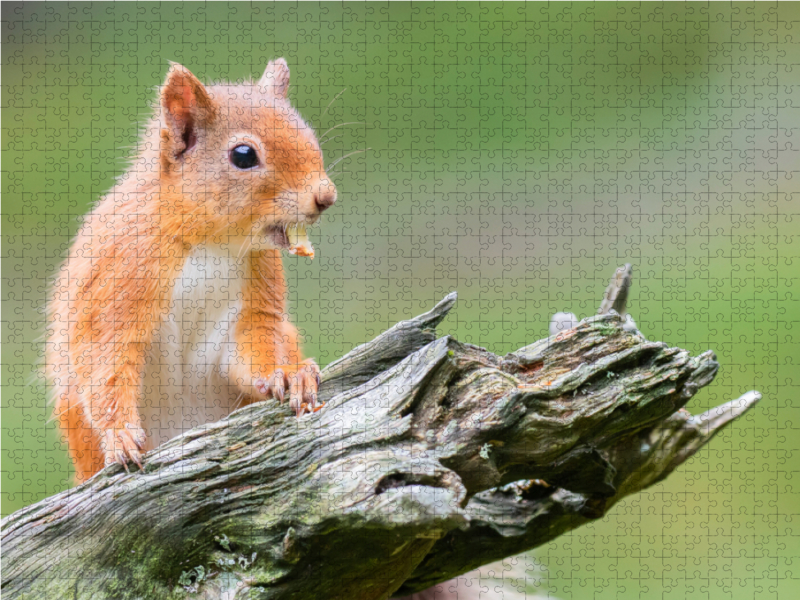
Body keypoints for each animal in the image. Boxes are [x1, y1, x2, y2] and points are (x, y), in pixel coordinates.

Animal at [47, 59, 334, 482]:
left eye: (308, 133)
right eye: (243, 155)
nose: (325, 196)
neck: (209, 242)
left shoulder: (252, 298)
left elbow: (255, 343)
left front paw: (287, 374)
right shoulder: (119, 279)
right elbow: (107, 365)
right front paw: (119, 434)